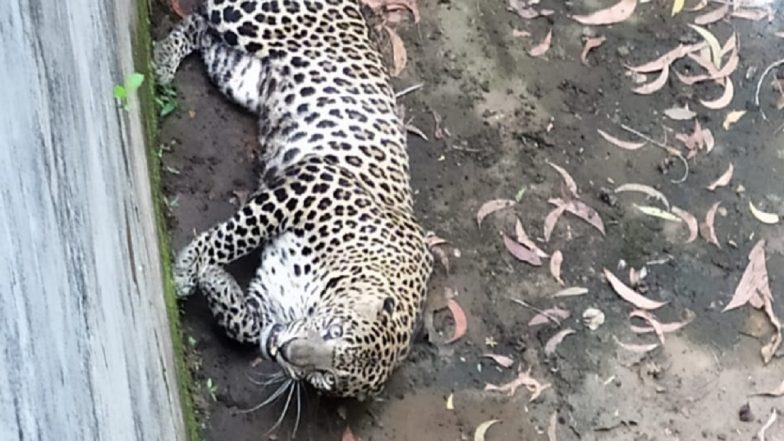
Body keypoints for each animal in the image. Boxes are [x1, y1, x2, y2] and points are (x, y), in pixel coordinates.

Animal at [153, 0, 434, 400]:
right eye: (334, 331)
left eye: (324, 378)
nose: (286, 352)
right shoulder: (310, 185)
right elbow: (234, 236)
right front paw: (184, 272)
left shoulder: (269, 306)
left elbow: (242, 324)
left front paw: (214, 280)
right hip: (248, 22)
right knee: (206, 13)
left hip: (241, 75)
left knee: (200, 29)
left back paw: (162, 61)